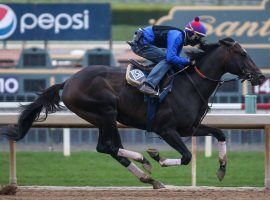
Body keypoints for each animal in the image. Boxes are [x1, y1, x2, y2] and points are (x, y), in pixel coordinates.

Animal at [1, 37, 264, 189]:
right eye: (242, 54)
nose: (261, 76)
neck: (189, 85)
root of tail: (68, 81)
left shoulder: (190, 128)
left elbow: (220, 133)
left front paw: (222, 168)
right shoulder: (166, 129)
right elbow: (187, 156)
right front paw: (158, 156)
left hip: (103, 118)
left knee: (110, 148)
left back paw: (149, 177)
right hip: (106, 111)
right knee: (106, 146)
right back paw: (145, 161)